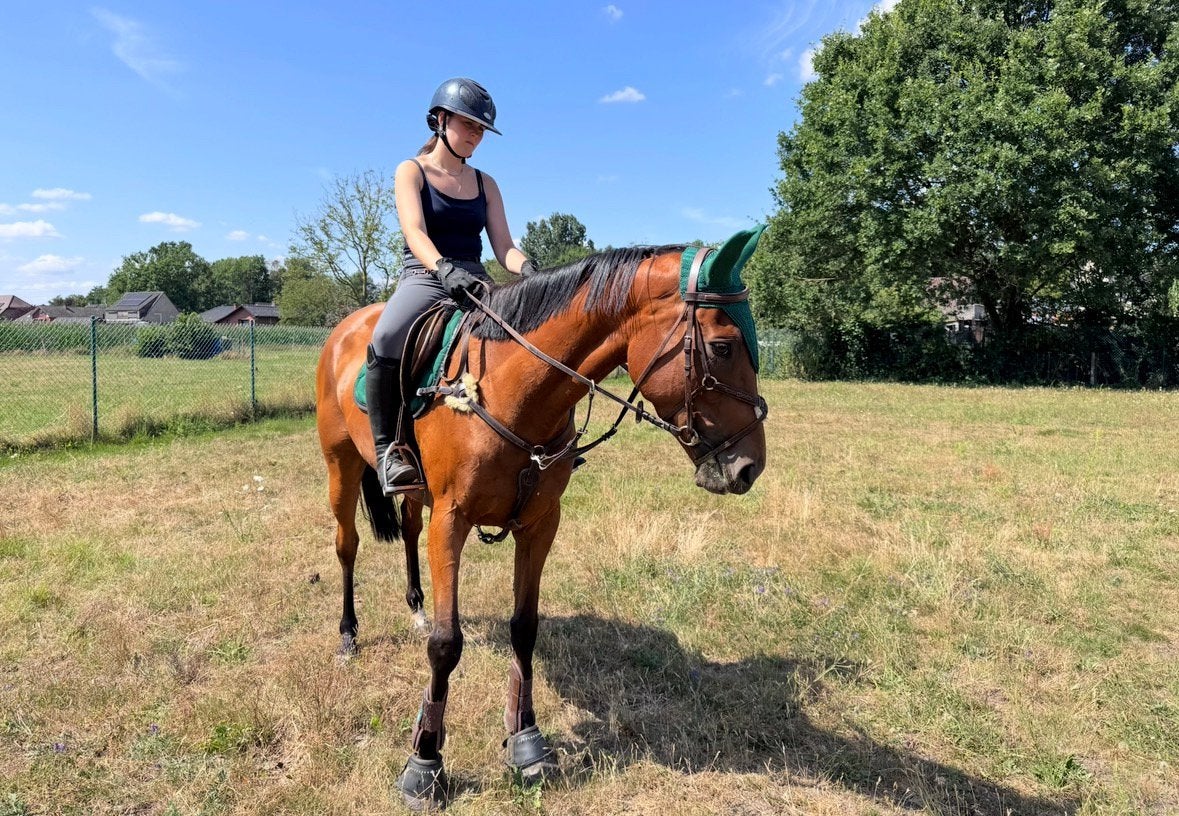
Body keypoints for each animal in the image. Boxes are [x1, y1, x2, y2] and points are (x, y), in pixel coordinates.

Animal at [315, 227, 768, 810]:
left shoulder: (539, 524)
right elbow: (445, 644)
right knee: (346, 546)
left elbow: (524, 629)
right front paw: (425, 762)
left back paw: (414, 607)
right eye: (723, 346)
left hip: (416, 495)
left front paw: (525, 740)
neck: (513, 389)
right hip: (341, 465)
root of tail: (347, 328)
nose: (750, 466)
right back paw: (348, 636)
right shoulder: (451, 522)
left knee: (409, 529)